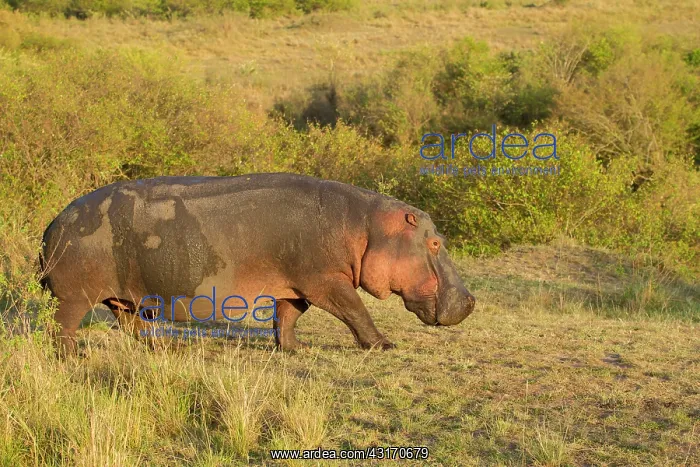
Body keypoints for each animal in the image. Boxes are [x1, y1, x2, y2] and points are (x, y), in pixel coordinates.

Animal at [40, 173, 475, 354]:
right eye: (435, 242)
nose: (471, 300)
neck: (367, 226)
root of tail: (53, 223)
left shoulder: (296, 284)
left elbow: (288, 316)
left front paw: (295, 350)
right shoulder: (325, 280)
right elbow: (355, 310)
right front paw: (384, 345)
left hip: (127, 296)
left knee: (132, 326)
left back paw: (167, 347)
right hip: (75, 296)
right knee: (62, 327)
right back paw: (74, 357)